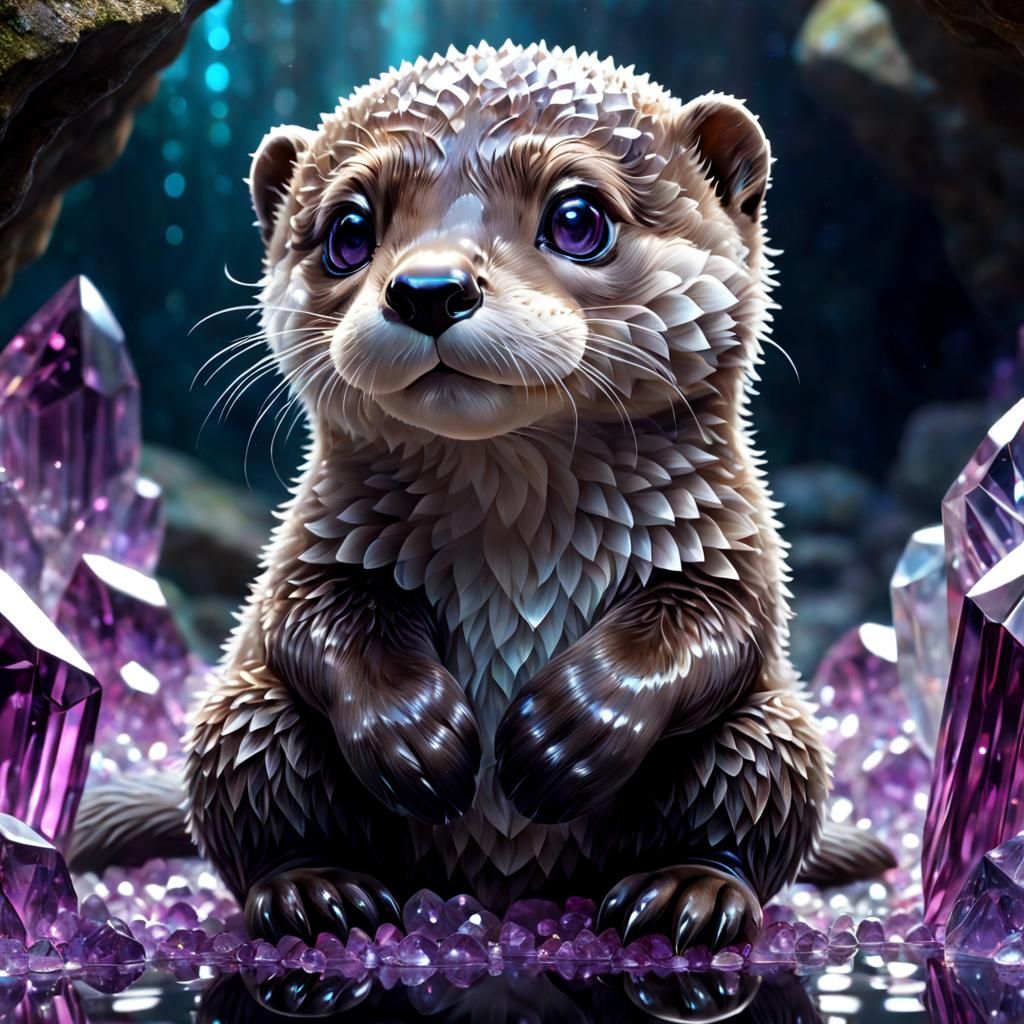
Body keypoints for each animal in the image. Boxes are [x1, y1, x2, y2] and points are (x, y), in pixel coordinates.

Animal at [72, 41, 893, 952]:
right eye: (348, 231)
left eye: (578, 218)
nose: (429, 289)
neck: (514, 541)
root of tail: (498, 896)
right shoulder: (316, 538)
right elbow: (311, 618)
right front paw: (418, 736)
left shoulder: (726, 536)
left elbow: (714, 625)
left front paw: (564, 733)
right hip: (241, 718)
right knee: (259, 789)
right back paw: (316, 893)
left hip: (773, 734)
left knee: (751, 791)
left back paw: (685, 892)